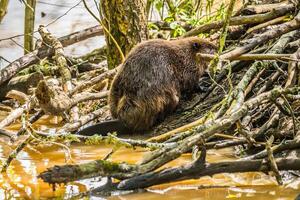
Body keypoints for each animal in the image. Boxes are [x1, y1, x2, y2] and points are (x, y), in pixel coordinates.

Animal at [77, 36, 216, 135]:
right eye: (209, 46)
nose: (216, 46)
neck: (187, 53)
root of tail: (121, 121)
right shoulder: (188, 68)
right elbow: (192, 84)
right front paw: (204, 86)